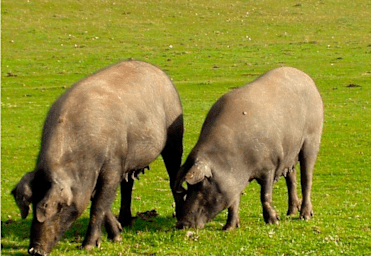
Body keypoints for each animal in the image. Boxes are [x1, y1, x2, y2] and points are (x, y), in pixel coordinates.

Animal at [25, 59, 184, 254]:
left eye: (59, 206)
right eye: (32, 203)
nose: (35, 250)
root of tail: (161, 73)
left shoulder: (113, 162)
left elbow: (99, 204)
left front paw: (88, 246)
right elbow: (99, 199)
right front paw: (117, 236)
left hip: (174, 134)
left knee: (173, 174)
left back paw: (179, 218)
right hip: (129, 158)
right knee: (127, 185)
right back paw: (125, 222)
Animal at [174, 66, 322, 230]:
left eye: (200, 186)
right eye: (187, 188)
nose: (181, 224)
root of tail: (307, 78)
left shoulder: (269, 165)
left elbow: (265, 195)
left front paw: (273, 221)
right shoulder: (233, 178)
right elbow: (233, 202)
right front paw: (229, 228)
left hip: (312, 138)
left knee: (306, 178)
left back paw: (305, 216)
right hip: (290, 152)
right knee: (291, 178)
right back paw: (290, 213)